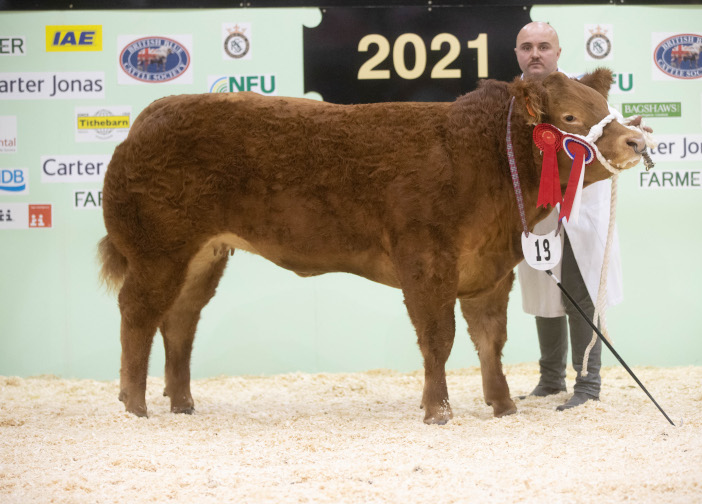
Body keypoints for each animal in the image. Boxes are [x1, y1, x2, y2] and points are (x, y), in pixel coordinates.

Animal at [99, 69, 648, 424]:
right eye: (571, 116)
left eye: (606, 109)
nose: (637, 141)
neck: (483, 157)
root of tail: (148, 116)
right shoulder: (426, 261)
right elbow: (439, 338)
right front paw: (437, 410)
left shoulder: (489, 270)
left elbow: (490, 339)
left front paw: (504, 405)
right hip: (158, 250)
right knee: (137, 314)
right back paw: (134, 405)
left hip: (203, 255)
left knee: (179, 321)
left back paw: (182, 403)